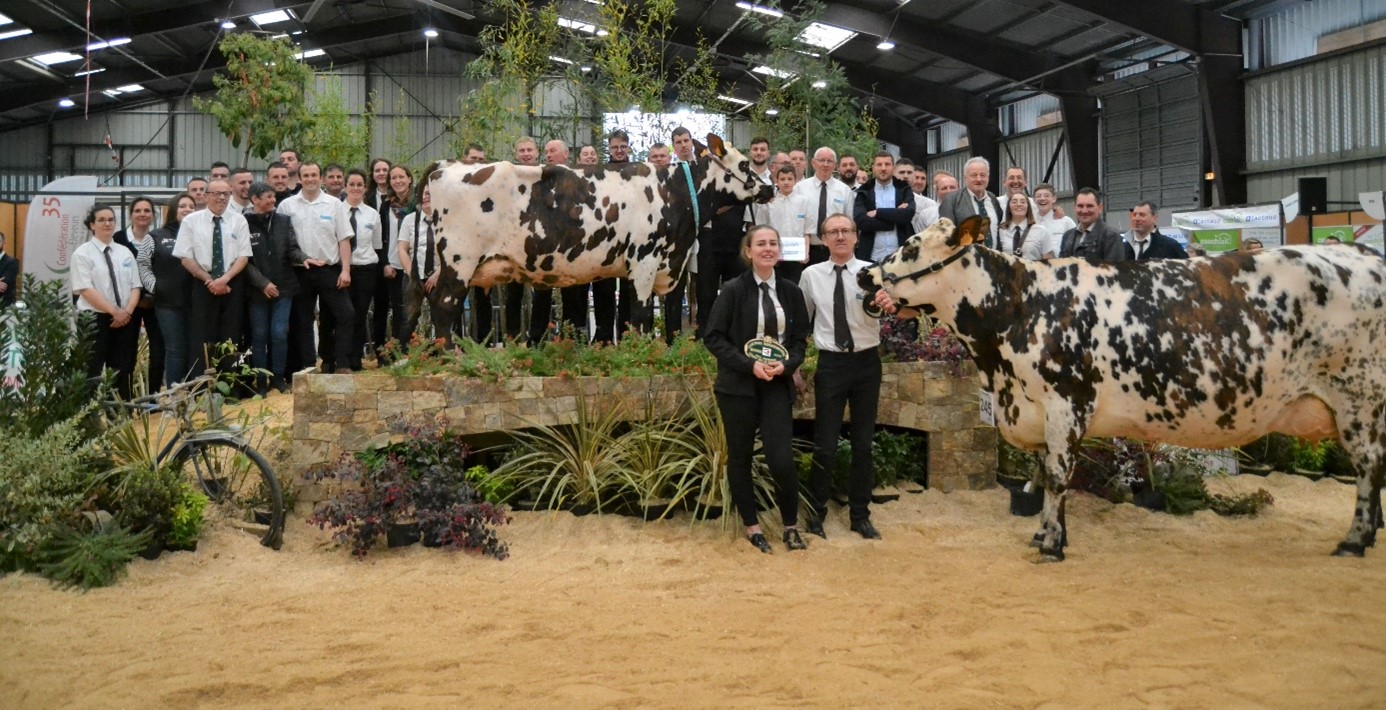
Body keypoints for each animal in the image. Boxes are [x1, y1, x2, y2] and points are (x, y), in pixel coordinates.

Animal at [421, 136, 776, 343]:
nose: (770, 187)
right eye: (745, 163)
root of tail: (446, 165)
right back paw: (450, 355)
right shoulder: (645, 261)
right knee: (444, 304)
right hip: (460, 261)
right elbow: (642, 314)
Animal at [853, 214, 1386, 560]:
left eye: (913, 246)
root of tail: (1360, 252)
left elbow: (1058, 476)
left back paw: (1354, 541)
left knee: (1368, 468)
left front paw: (1051, 545)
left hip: (1359, 397)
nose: (863, 276)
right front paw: (1048, 535)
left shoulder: (1065, 404)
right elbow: (1046, 476)